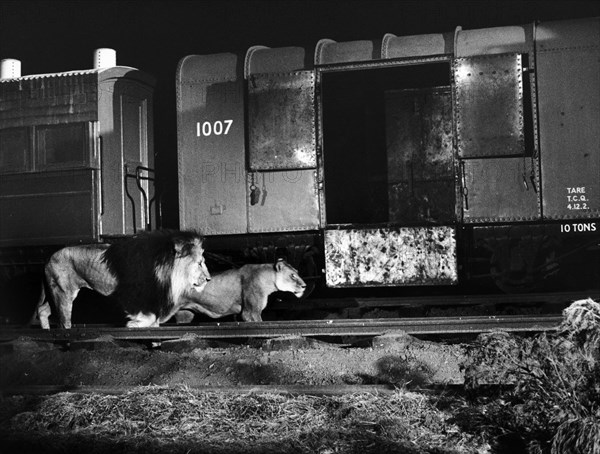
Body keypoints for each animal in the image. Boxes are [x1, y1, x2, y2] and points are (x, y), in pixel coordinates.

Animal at [36, 232, 211, 328]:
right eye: (199, 263)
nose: (209, 279)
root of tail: (49, 258)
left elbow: (154, 320)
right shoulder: (131, 296)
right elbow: (149, 317)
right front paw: (133, 324)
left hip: (56, 293)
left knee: (43, 310)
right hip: (64, 293)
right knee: (64, 322)